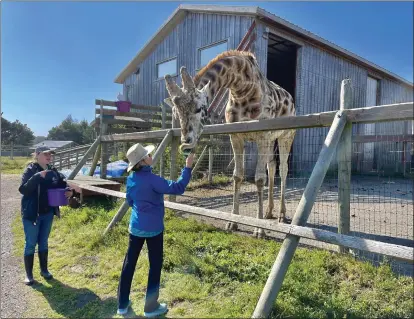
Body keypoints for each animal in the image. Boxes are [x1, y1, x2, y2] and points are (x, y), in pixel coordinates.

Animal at [163, 50, 296, 238]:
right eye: (175, 113)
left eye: (198, 108)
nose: (185, 144)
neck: (242, 89)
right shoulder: (236, 136)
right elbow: (237, 176)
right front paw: (233, 222)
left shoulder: (262, 135)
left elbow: (259, 179)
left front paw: (259, 229)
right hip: (272, 140)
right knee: (272, 166)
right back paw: (269, 212)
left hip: (286, 136)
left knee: (283, 169)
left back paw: (282, 215)